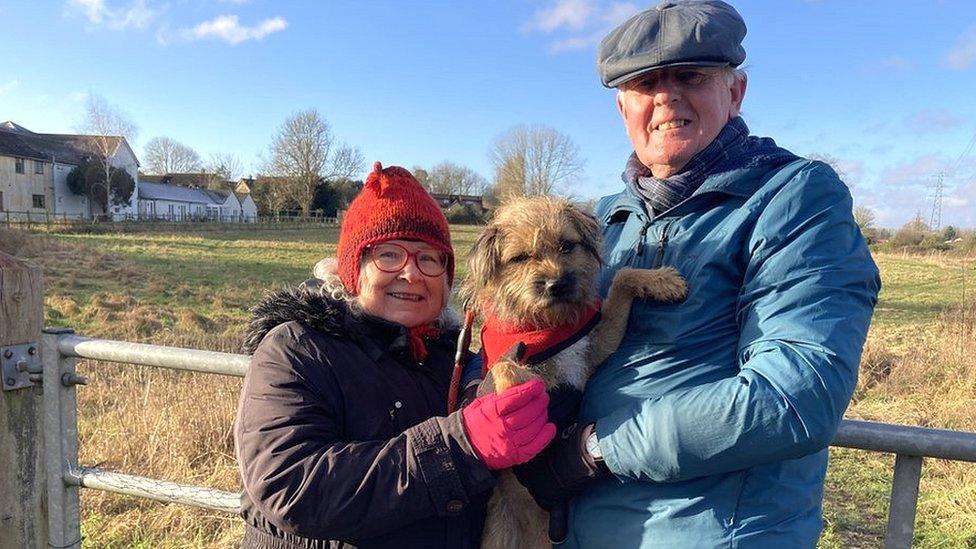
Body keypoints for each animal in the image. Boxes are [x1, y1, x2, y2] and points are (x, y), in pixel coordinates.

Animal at [464, 195, 688, 544]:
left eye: (567, 246)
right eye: (521, 257)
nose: (557, 284)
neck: (548, 324)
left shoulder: (593, 351)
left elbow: (623, 277)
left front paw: (661, 281)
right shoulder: (506, 355)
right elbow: (503, 368)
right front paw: (522, 397)